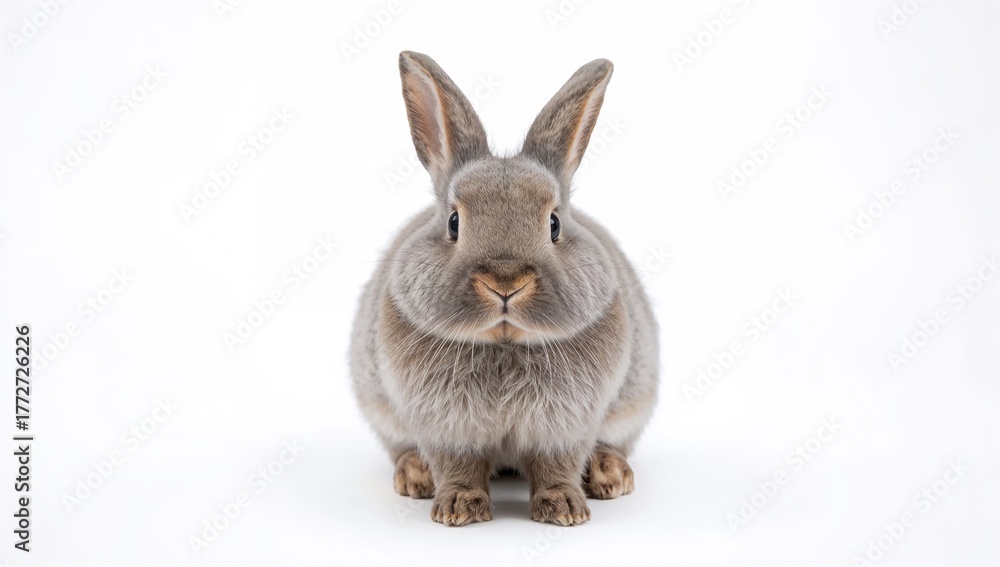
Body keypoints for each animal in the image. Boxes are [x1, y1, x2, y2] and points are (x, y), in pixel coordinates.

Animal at [349, 51, 658, 526]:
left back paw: (610, 474)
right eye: (454, 222)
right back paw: (415, 475)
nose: (505, 283)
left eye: (554, 224)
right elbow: (458, 466)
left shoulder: (565, 426)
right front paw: (458, 509)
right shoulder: (448, 428)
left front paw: (564, 510)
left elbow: (556, 466)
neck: (504, 343)